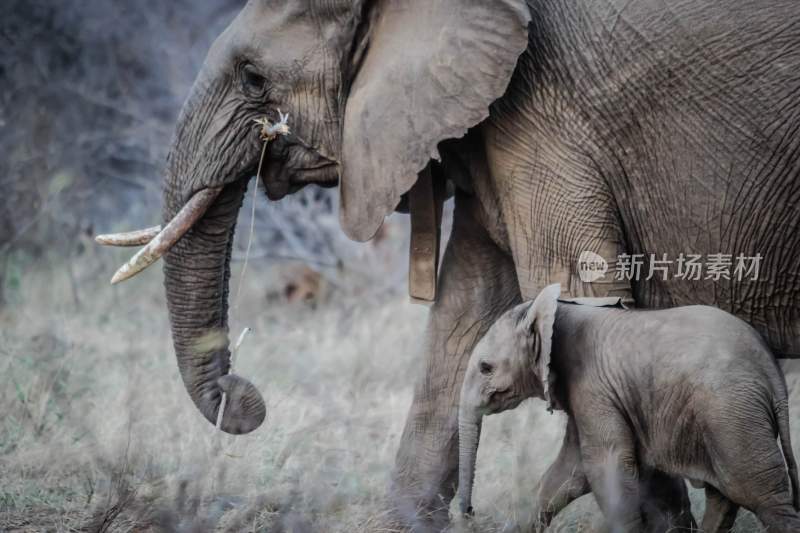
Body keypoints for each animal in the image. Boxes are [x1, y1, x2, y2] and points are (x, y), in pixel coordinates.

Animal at [456, 284, 800, 532]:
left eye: (486, 368)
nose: (469, 512)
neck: (556, 309)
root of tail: (771, 370)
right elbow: (569, 473)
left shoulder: (593, 386)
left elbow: (606, 466)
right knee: (725, 494)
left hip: (731, 413)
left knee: (760, 495)